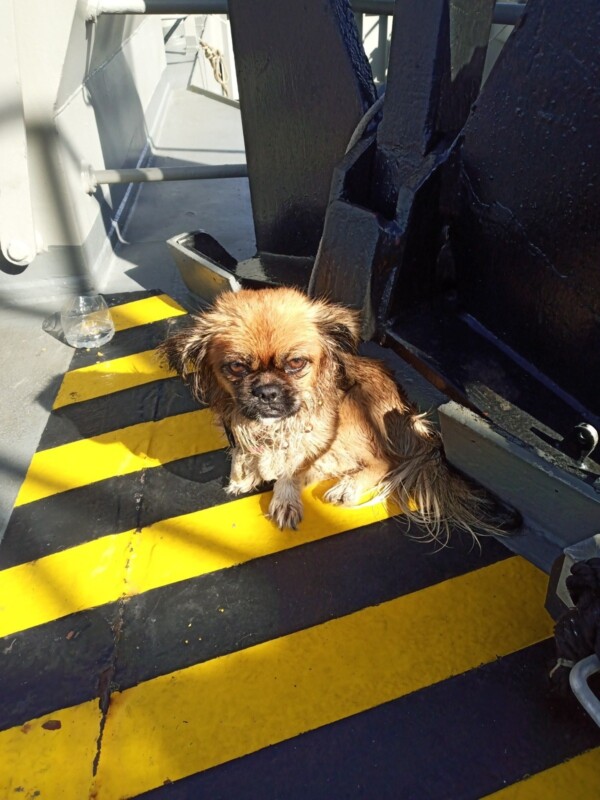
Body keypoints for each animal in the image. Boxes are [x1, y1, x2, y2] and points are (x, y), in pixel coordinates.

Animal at [159, 286, 506, 542]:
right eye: (235, 367)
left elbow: (291, 467)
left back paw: (347, 486)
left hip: (354, 409)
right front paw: (244, 473)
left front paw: (285, 498)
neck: (274, 428)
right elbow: (244, 452)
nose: (267, 391)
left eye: (296, 363)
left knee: (385, 460)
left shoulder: (314, 436)